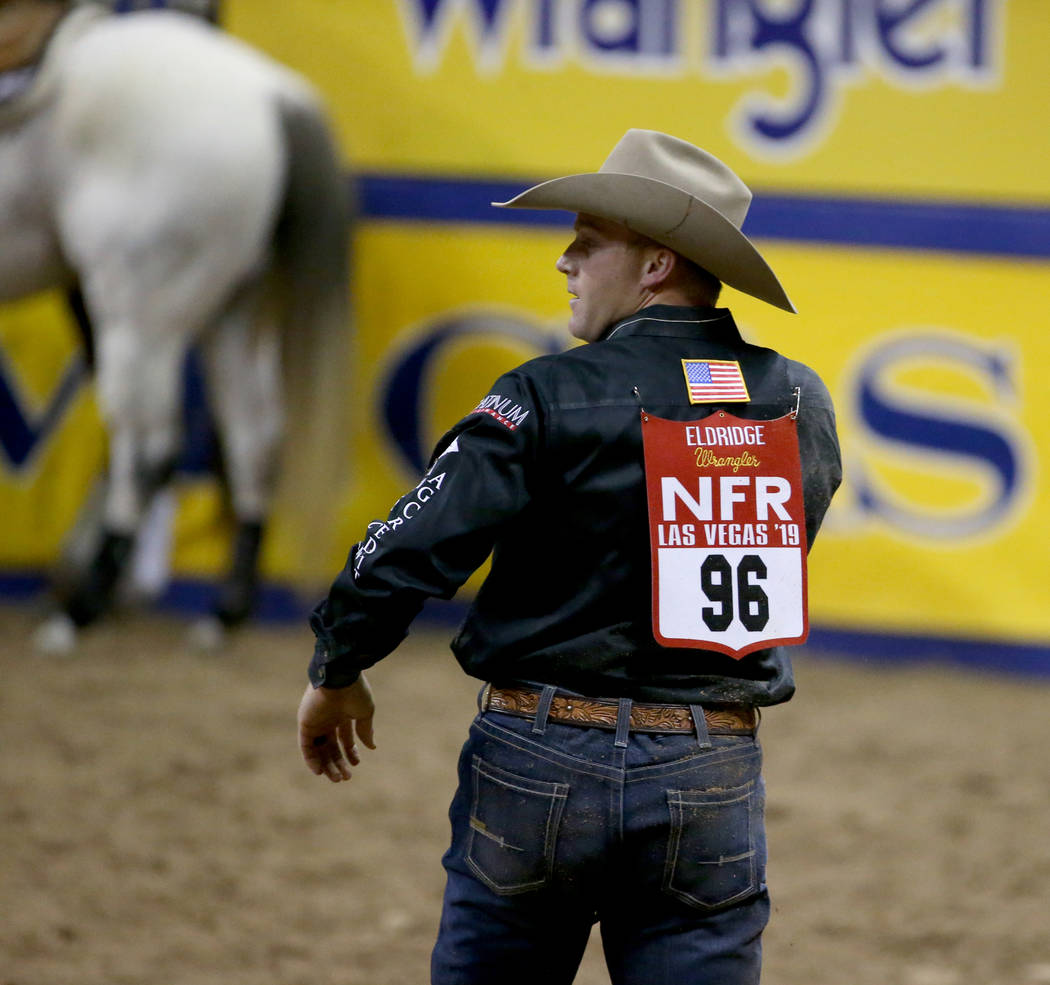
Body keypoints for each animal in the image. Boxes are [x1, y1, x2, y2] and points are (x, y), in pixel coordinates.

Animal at [0, 3, 352, 646]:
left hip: (138, 314)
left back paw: (80, 608)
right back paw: (223, 612)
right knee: (251, 433)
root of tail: (273, 96)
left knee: (149, 449)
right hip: (230, 314)